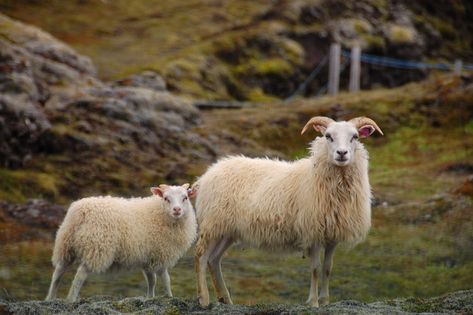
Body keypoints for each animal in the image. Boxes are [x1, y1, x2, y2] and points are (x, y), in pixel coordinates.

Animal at [45, 184, 196, 302]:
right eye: (166, 198)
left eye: (185, 198)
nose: (177, 210)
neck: (159, 213)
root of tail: (80, 212)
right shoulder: (161, 254)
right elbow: (165, 279)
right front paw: (170, 297)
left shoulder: (148, 256)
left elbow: (151, 280)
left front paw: (150, 298)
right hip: (97, 247)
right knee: (80, 275)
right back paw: (71, 299)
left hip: (65, 244)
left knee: (58, 272)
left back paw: (50, 298)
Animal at [194, 116, 382, 308]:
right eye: (328, 136)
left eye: (355, 137)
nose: (342, 153)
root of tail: (207, 175)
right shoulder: (313, 232)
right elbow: (315, 269)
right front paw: (314, 302)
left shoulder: (332, 235)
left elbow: (328, 268)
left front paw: (325, 301)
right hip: (213, 223)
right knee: (201, 256)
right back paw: (204, 298)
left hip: (227, 230)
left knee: (214, 259)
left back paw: (225, 299)